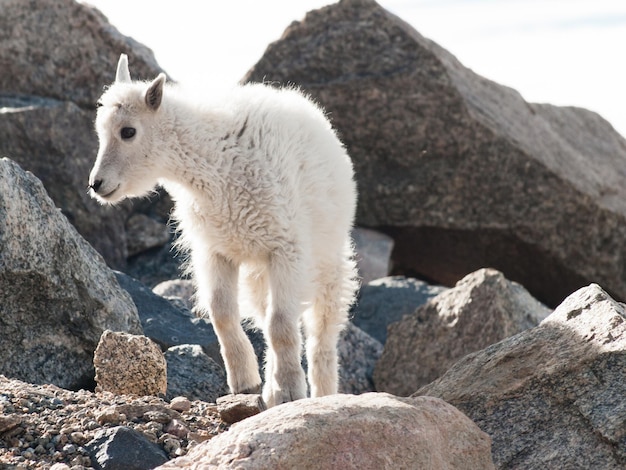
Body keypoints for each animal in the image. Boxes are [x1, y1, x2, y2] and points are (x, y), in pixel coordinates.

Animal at [88, 56, 356, 408]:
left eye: (128, 131)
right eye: (100, 131)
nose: (97, 184)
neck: (214, 165)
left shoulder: (287, 248)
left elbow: (282, 324)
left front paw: (290, 391)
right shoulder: (216, 249)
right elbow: (222, 313)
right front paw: (245, 382)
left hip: (326, 256)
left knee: (321, 328)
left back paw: (323, 393)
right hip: (257, 271)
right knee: (264, 316)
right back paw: (270, 389)